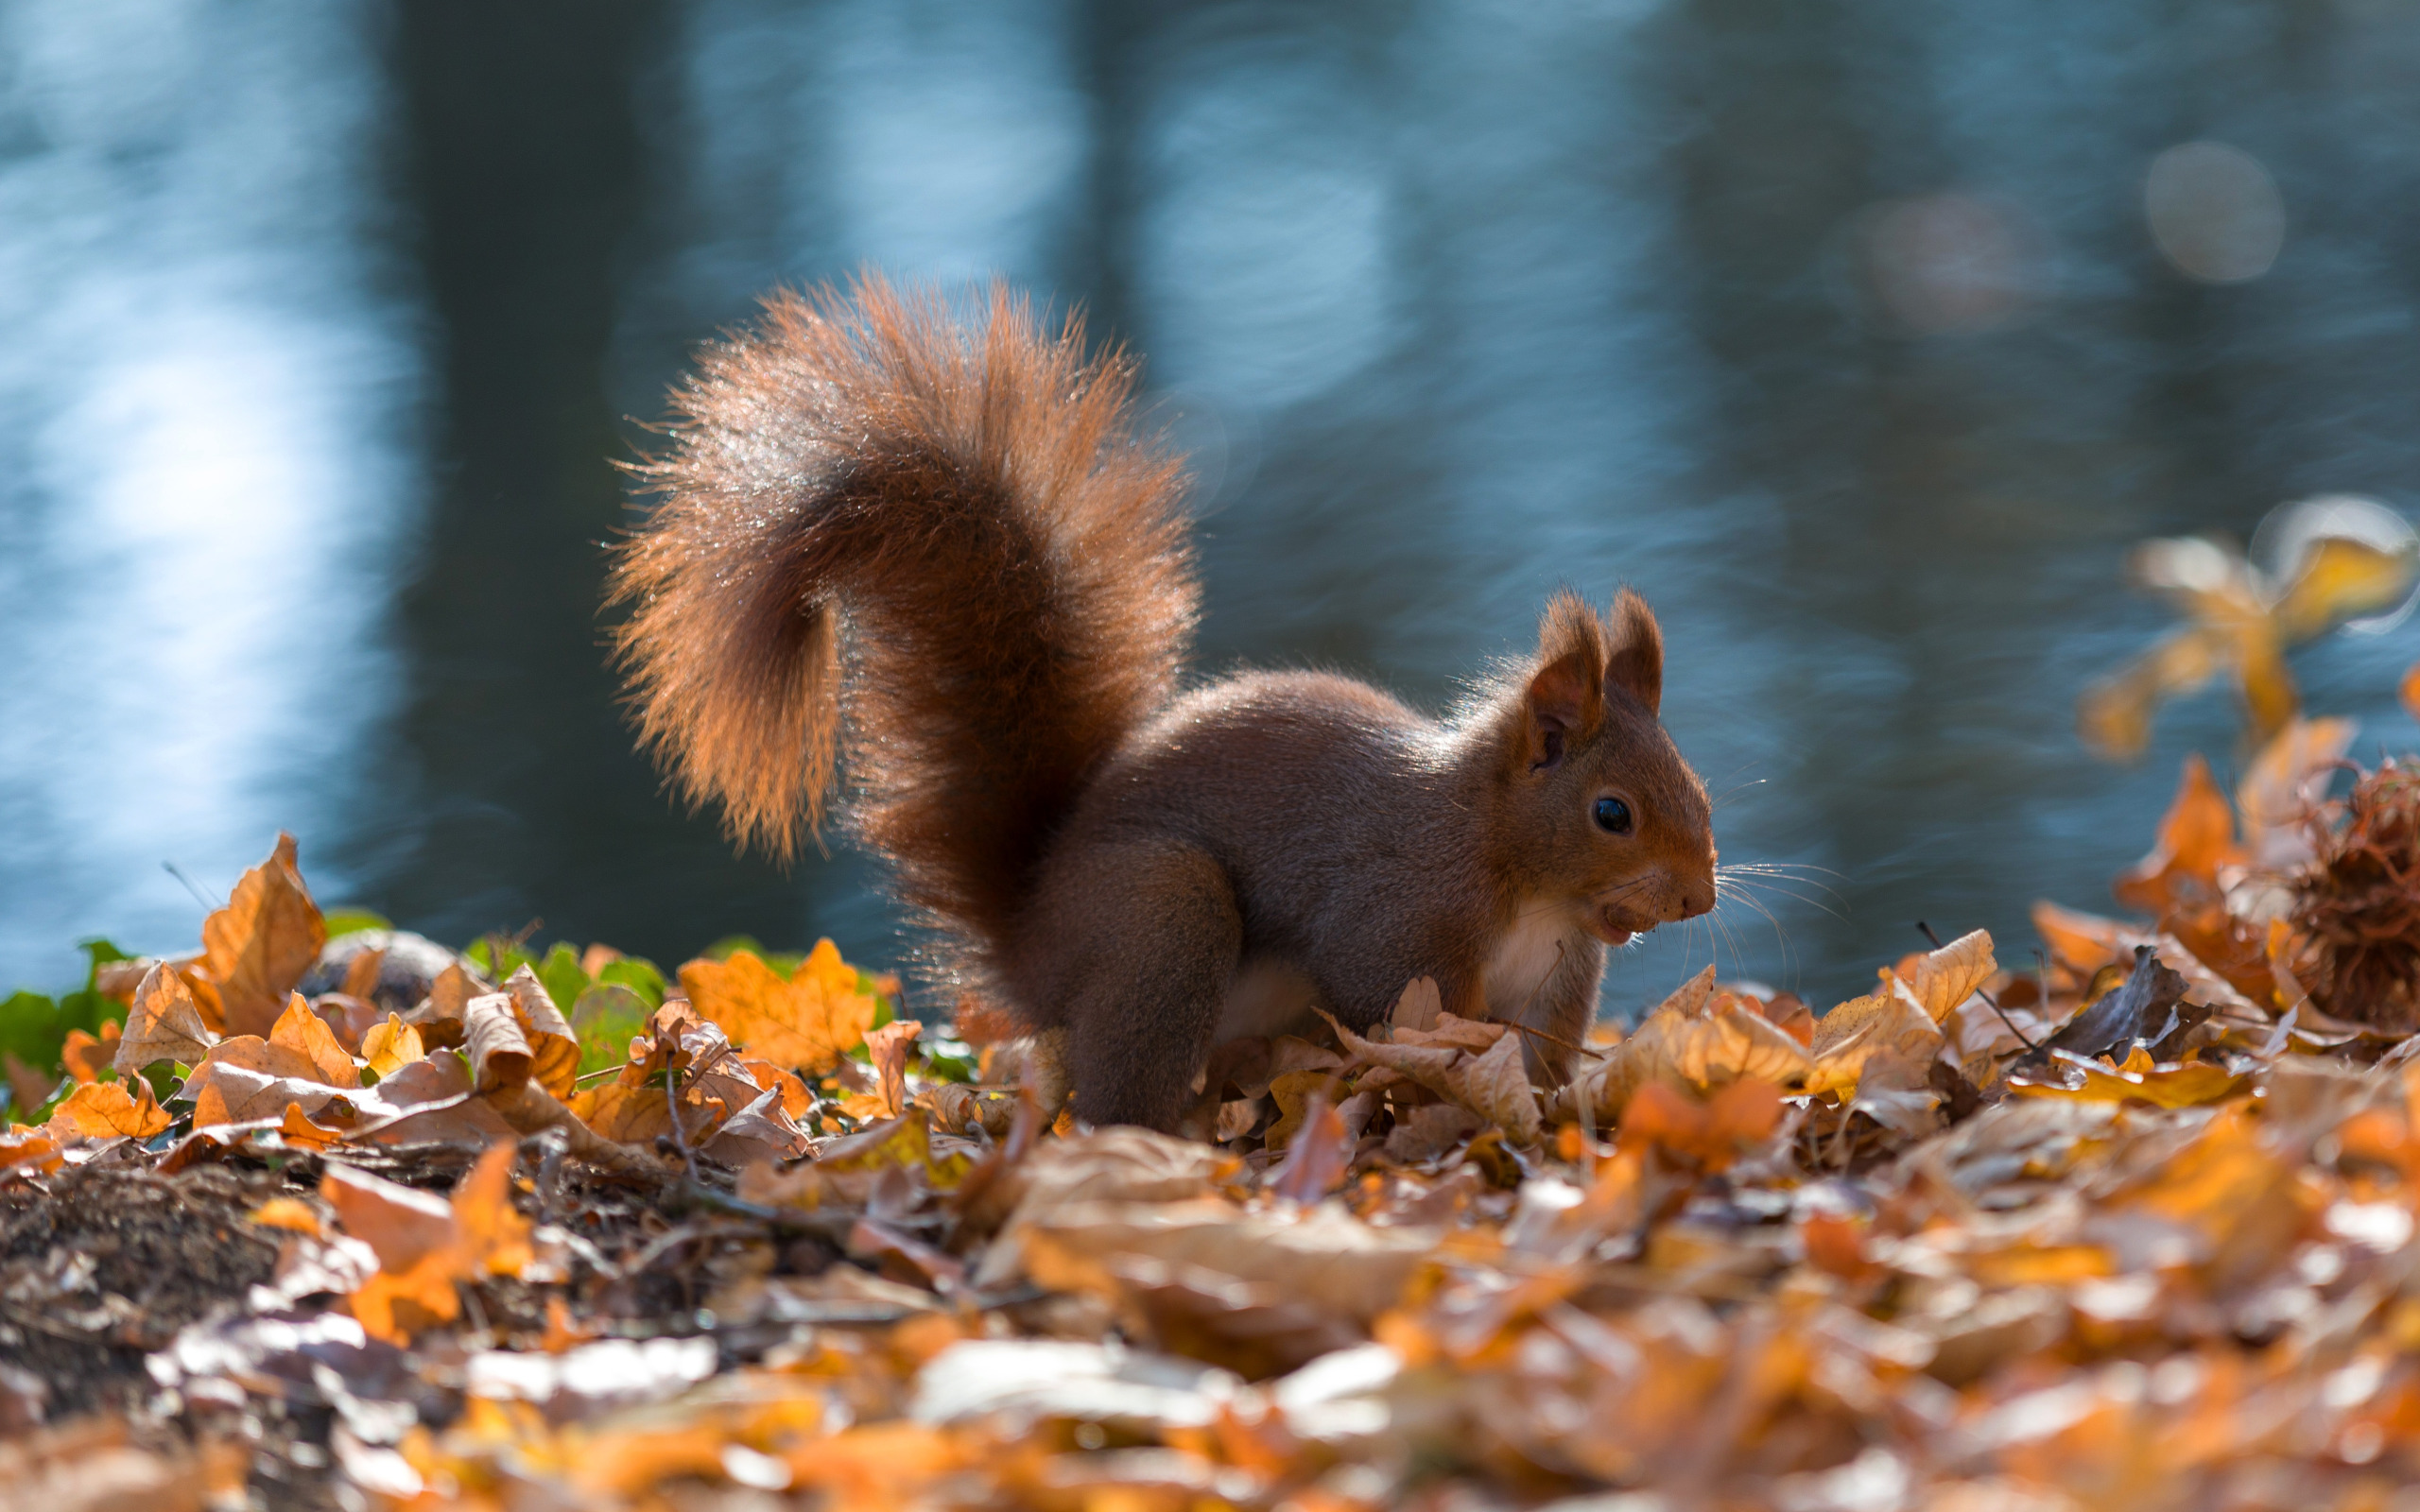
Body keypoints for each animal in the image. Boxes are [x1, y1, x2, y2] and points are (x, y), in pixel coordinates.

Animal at [614, 280, 1732, 1132]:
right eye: (1611, 812)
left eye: (1701, 789)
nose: (1698, 900)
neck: (1518, 872)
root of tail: (1030, 938)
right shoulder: (1395, 916)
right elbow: (1406, 1013)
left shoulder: (1558, 979)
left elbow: (1539, 1062)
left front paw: (1544, 1111)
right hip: (1162, 912)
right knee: (1118, 1087)